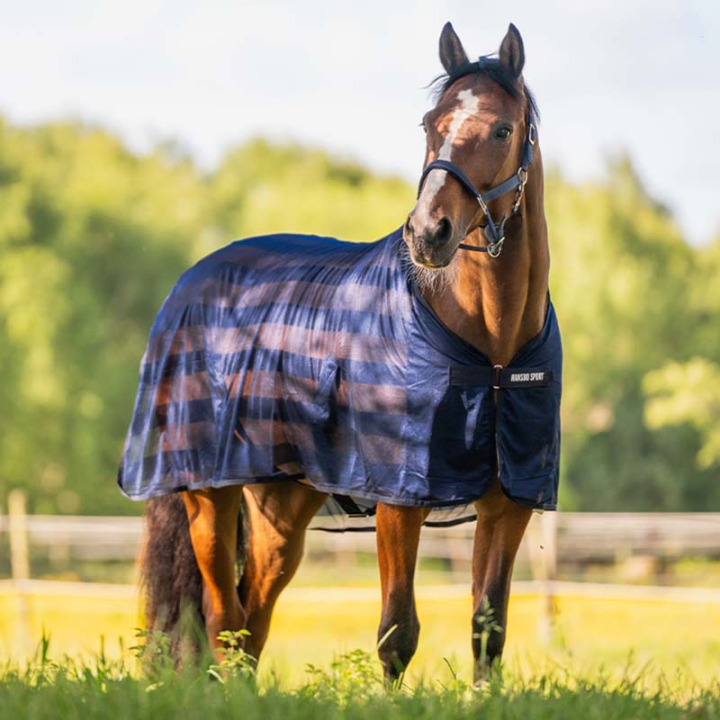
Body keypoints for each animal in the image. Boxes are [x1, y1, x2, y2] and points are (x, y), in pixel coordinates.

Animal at [121, 22, 560, 684]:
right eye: (430, 124)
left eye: (503, 130)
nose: (427, 232)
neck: (494, 356)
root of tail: (190, 282)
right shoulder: (399, 501)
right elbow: (397, 632)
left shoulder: (508, 502)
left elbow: (488, 630)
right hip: (207, 495)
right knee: (224, 618)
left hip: (282, 507)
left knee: (252, 622)